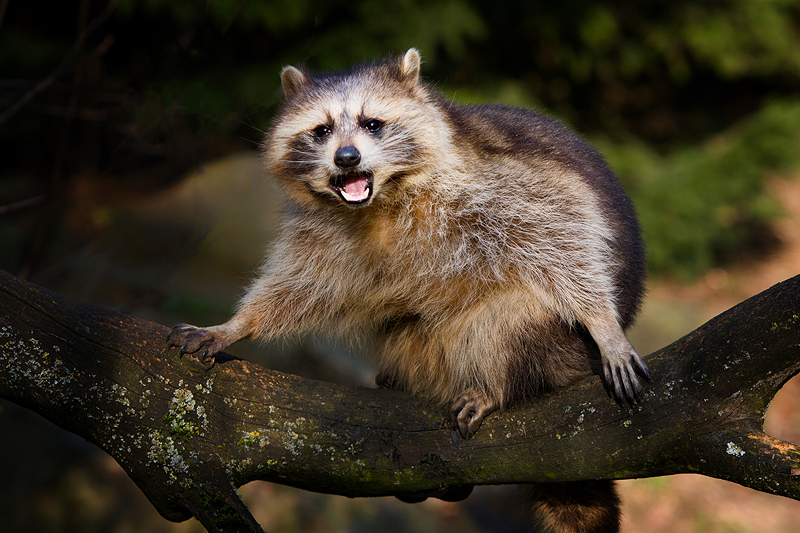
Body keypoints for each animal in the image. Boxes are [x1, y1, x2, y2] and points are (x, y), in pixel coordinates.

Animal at [169, 48, 648, 532]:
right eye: (322, 130)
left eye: (372, 123)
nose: (346, 158)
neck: (380, 199)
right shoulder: (323, 232)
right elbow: (295, 284)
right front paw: (236, 323)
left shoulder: (497, 179)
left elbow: (565, 228)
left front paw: (601, 321)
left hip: (561, 345)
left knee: (510, 319)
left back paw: (499, 386)